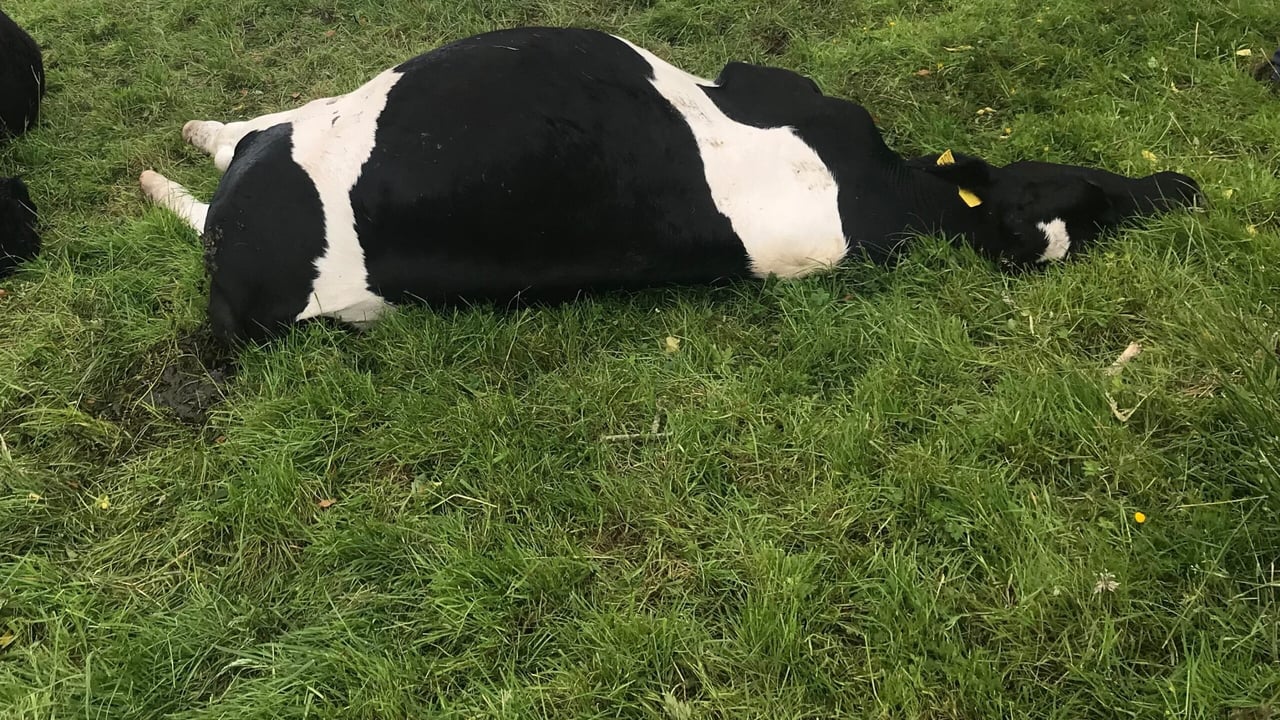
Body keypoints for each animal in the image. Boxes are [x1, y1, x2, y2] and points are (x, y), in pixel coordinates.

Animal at [139, 26, 1203, 346]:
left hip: (284, 211)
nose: (1182, 184)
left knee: (243, 157)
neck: (886, 194)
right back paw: (184, 144)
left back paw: (171, 168)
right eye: (1081, 187)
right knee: (253, 133)